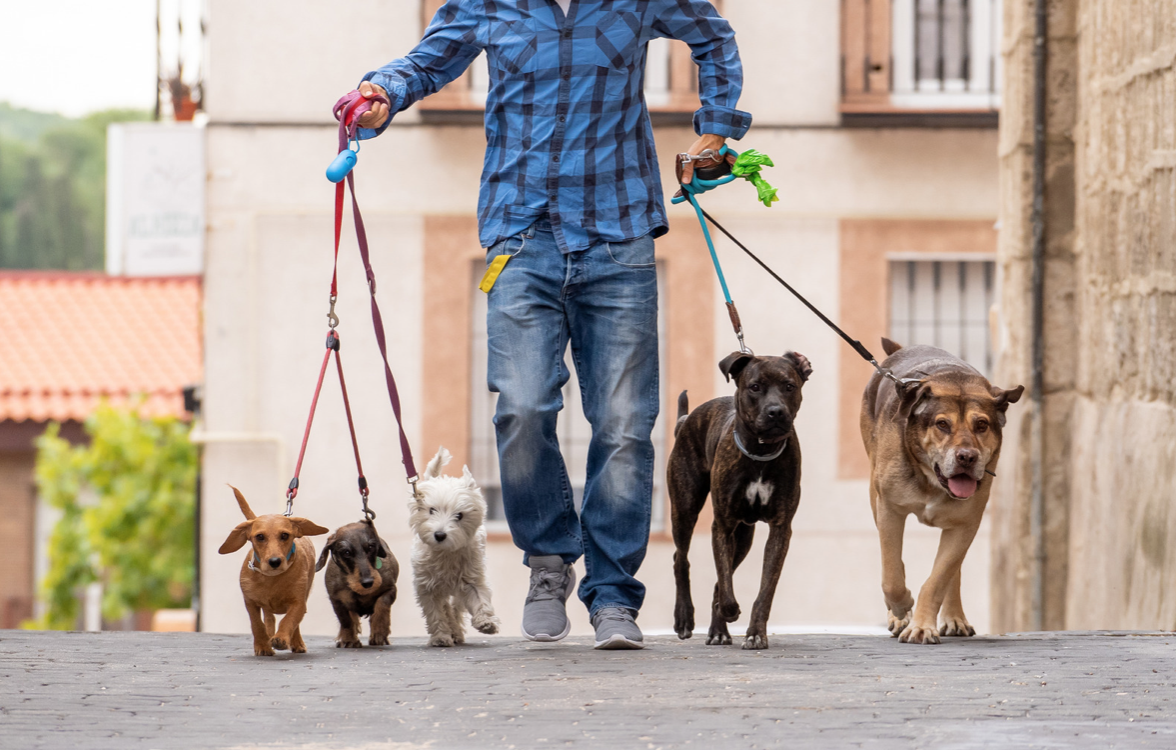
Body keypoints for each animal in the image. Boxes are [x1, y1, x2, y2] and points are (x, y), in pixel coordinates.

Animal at [215, 489, 326, 658]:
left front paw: (281, 638)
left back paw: (296, 642)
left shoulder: (299, 603)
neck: (272, 579)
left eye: (285, 535)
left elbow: (289, 620)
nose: (274, 561)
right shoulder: (250, 602)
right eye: (260, 536)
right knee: (268, 618)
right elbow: (257, 624)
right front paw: (262, 645)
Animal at [409, 446, 500, 648]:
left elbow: (480, 600)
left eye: (459, 515)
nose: (440, 535)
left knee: (456, 607)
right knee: (446, 608)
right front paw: (441, 637)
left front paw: (486, 623)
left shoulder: (471, 580)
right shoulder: (427, 587)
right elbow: (436, 613)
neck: (446, 554)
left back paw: (456, 631)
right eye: (431, 510)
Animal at [672, 350, 809, 648]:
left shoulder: (780, 530)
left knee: (719, 579)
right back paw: (685, 617)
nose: (776, 411)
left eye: (789, 386)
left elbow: (764, 590)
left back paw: (718, 630)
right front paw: (730, 610)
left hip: (744, 536)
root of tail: (686, 420)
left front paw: (756, 632)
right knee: (681, 559)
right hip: (684, 507)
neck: (760, 451)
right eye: (755, 387)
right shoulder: (722, 525)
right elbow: (724, 581)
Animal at [865, 340, 1020, 648]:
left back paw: (954, 618)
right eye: (942, 424)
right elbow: (891, 575)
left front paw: (922, 626)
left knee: (952, 570)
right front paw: (902, 608)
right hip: (874, 494)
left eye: (982, 425)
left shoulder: (966, 524)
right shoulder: (889, 509)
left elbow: (939, 578)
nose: (967, 457)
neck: (931, 480)